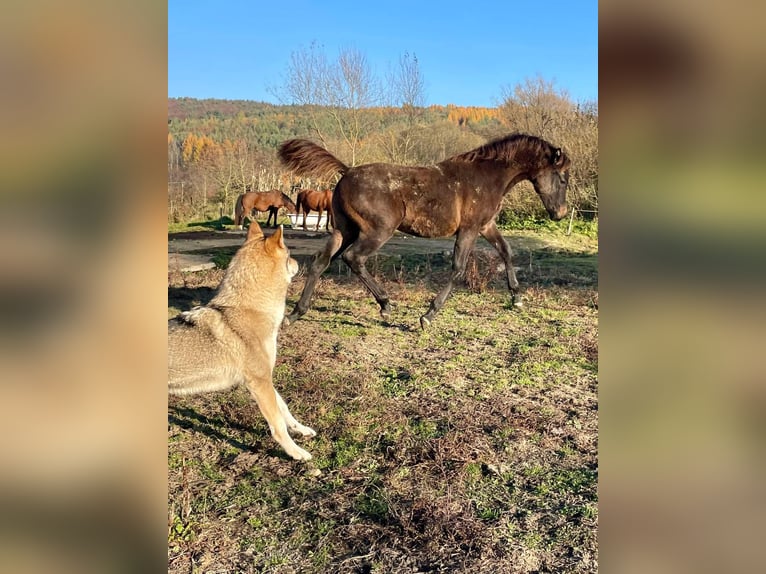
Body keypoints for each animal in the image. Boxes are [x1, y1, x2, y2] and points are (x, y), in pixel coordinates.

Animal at [278, 133, 571, 328]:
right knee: (354, 259)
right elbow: (458, 268)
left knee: (320, 261)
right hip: (377, 231)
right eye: (563, 178)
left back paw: (295, 314)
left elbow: (507, 252)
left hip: (343, 230)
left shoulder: (486, 226)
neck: (487, 177)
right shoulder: (469, 229)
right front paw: (428, 315)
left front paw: (517, 298)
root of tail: (347, 171)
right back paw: (385, 305)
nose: (560, 213)